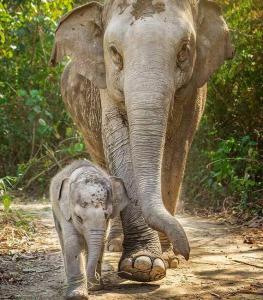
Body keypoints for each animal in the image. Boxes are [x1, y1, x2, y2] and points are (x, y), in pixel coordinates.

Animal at [50, 0, 234, 282]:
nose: (186, 252)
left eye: (184, 50)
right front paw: (142, 264)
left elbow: (176, 151)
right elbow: (119, 143)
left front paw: (167, 258)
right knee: (103, 160)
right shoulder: (106, 87)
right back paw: (115, 244)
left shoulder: (194, 90)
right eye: (114, 52)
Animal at [50, 161, 129, 298]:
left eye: (107, 216)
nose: (96, 277)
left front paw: (95, 287)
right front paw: (77, 295)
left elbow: (100, 244)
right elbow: (74, 242)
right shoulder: (66, 213)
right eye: (79, 218)